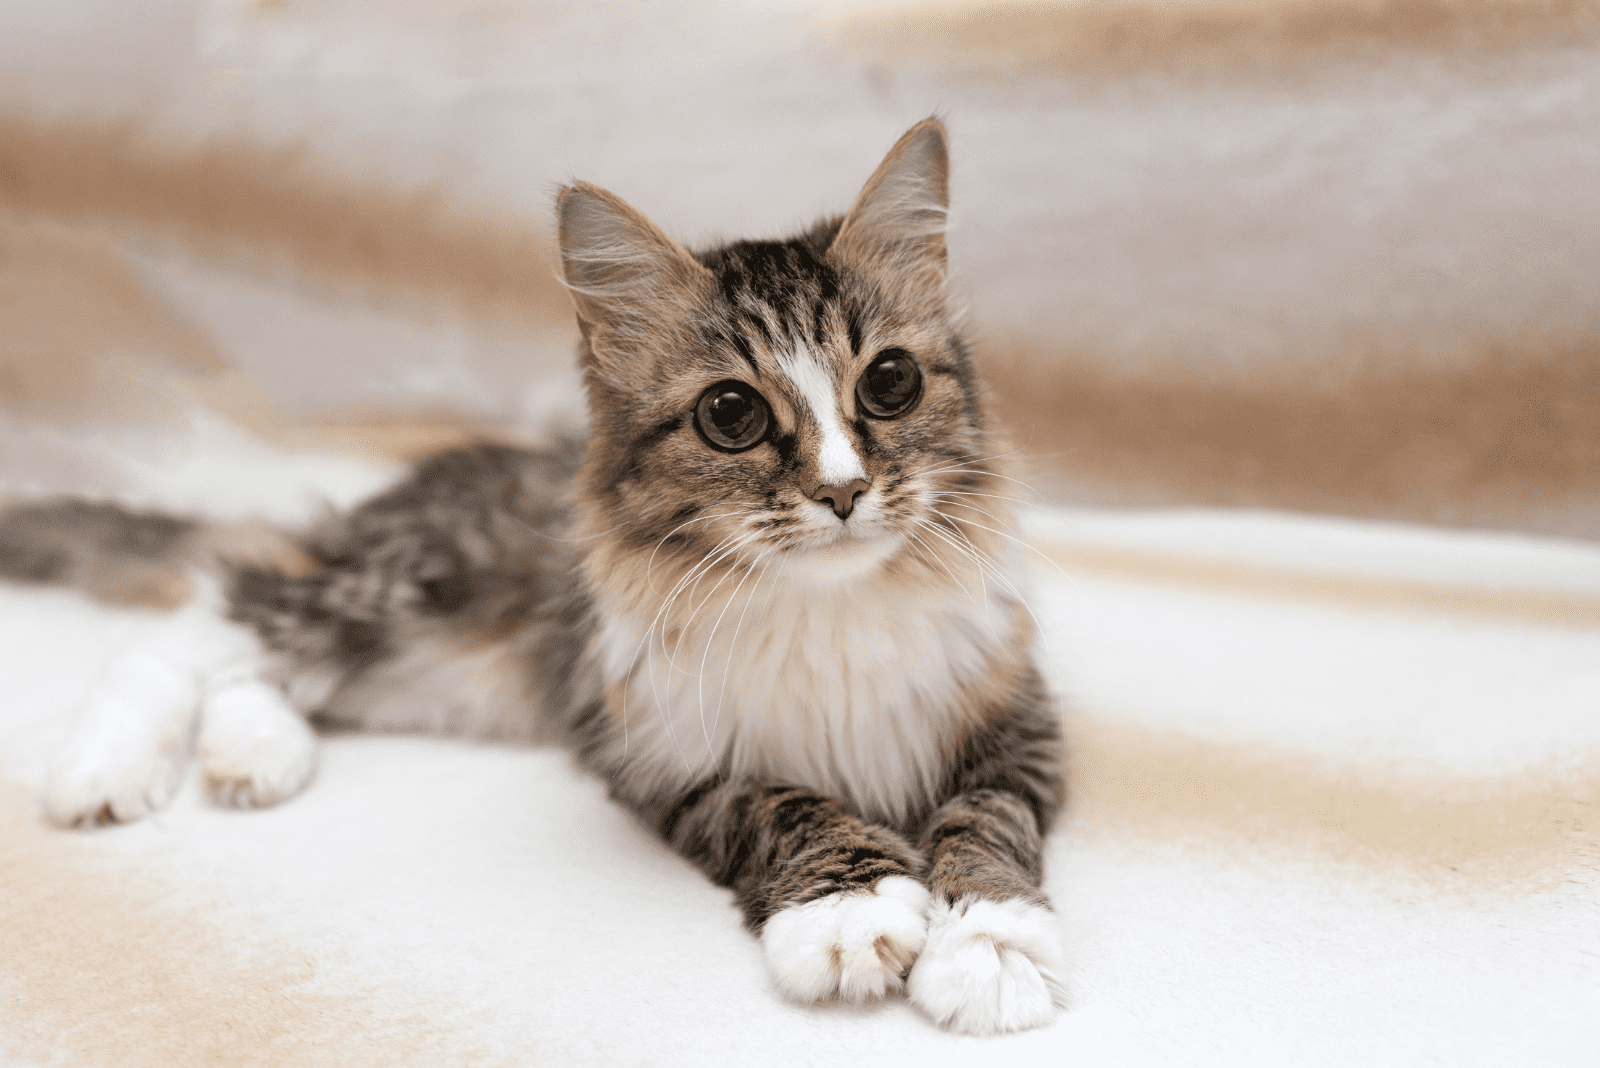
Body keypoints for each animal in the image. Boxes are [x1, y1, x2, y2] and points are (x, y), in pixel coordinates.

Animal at [12, 116, 1068, 1036]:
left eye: (889, 383)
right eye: (732, 414)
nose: (845, 491)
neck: (830, 607)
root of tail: (402, 494)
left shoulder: (1014, 718)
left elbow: (986, 824)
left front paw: (989, 947)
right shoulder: (663, 752)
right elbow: (788, 806)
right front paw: (851, 915)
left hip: (431, 675)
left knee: (261, 668)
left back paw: (254, 758)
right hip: (401, 595)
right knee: (207, 617)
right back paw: (104, 772)